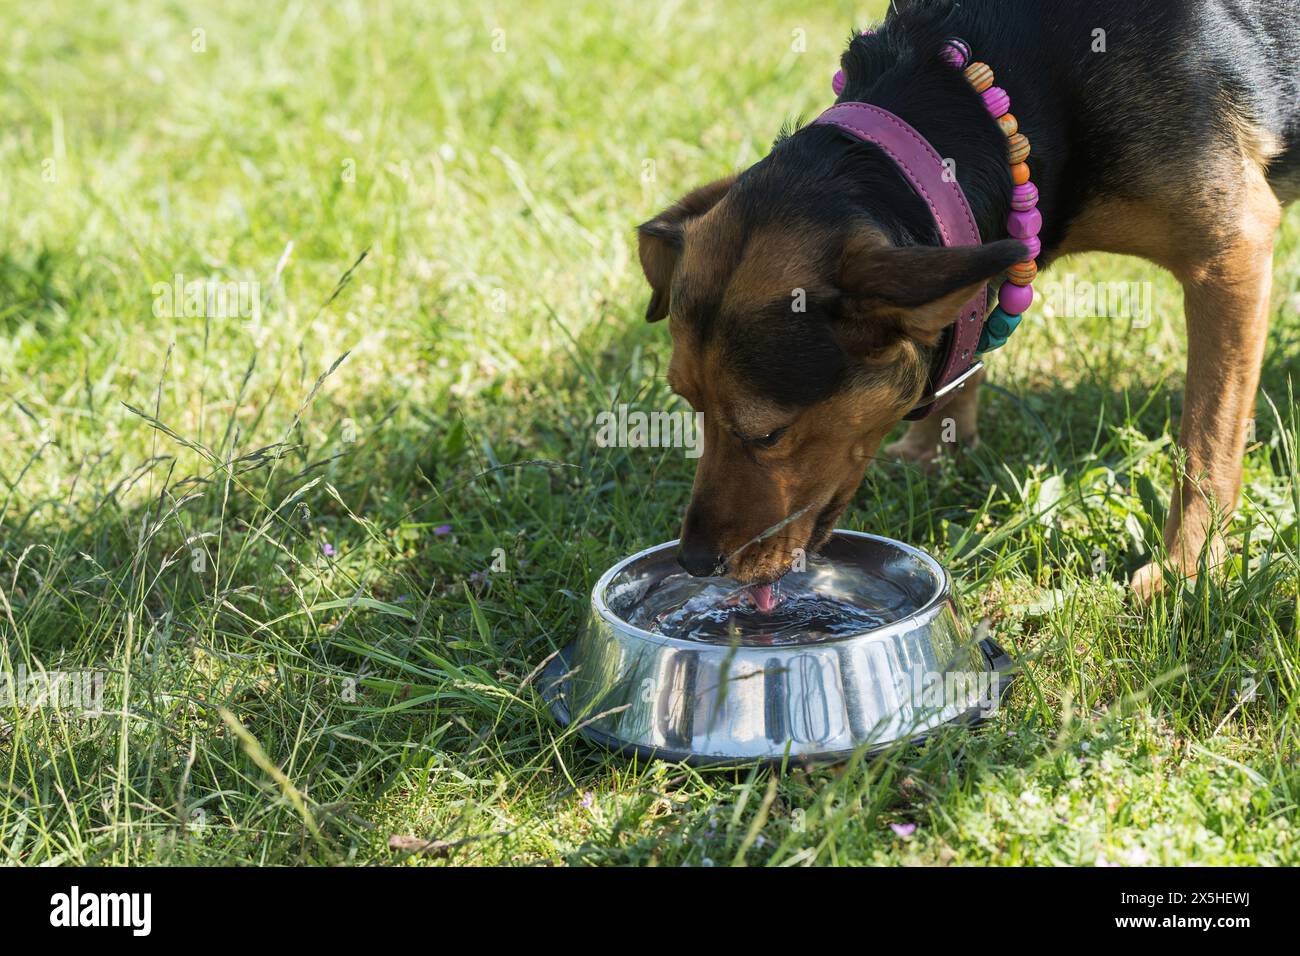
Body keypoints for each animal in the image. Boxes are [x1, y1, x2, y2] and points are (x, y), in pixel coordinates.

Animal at [639, 0, 1300, 598]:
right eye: (689, 404)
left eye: (769, 435)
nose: (694, 562)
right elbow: (965, 316)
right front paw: (934, 450)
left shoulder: (1230, 254)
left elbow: (1207, 440)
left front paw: (1187, 569)